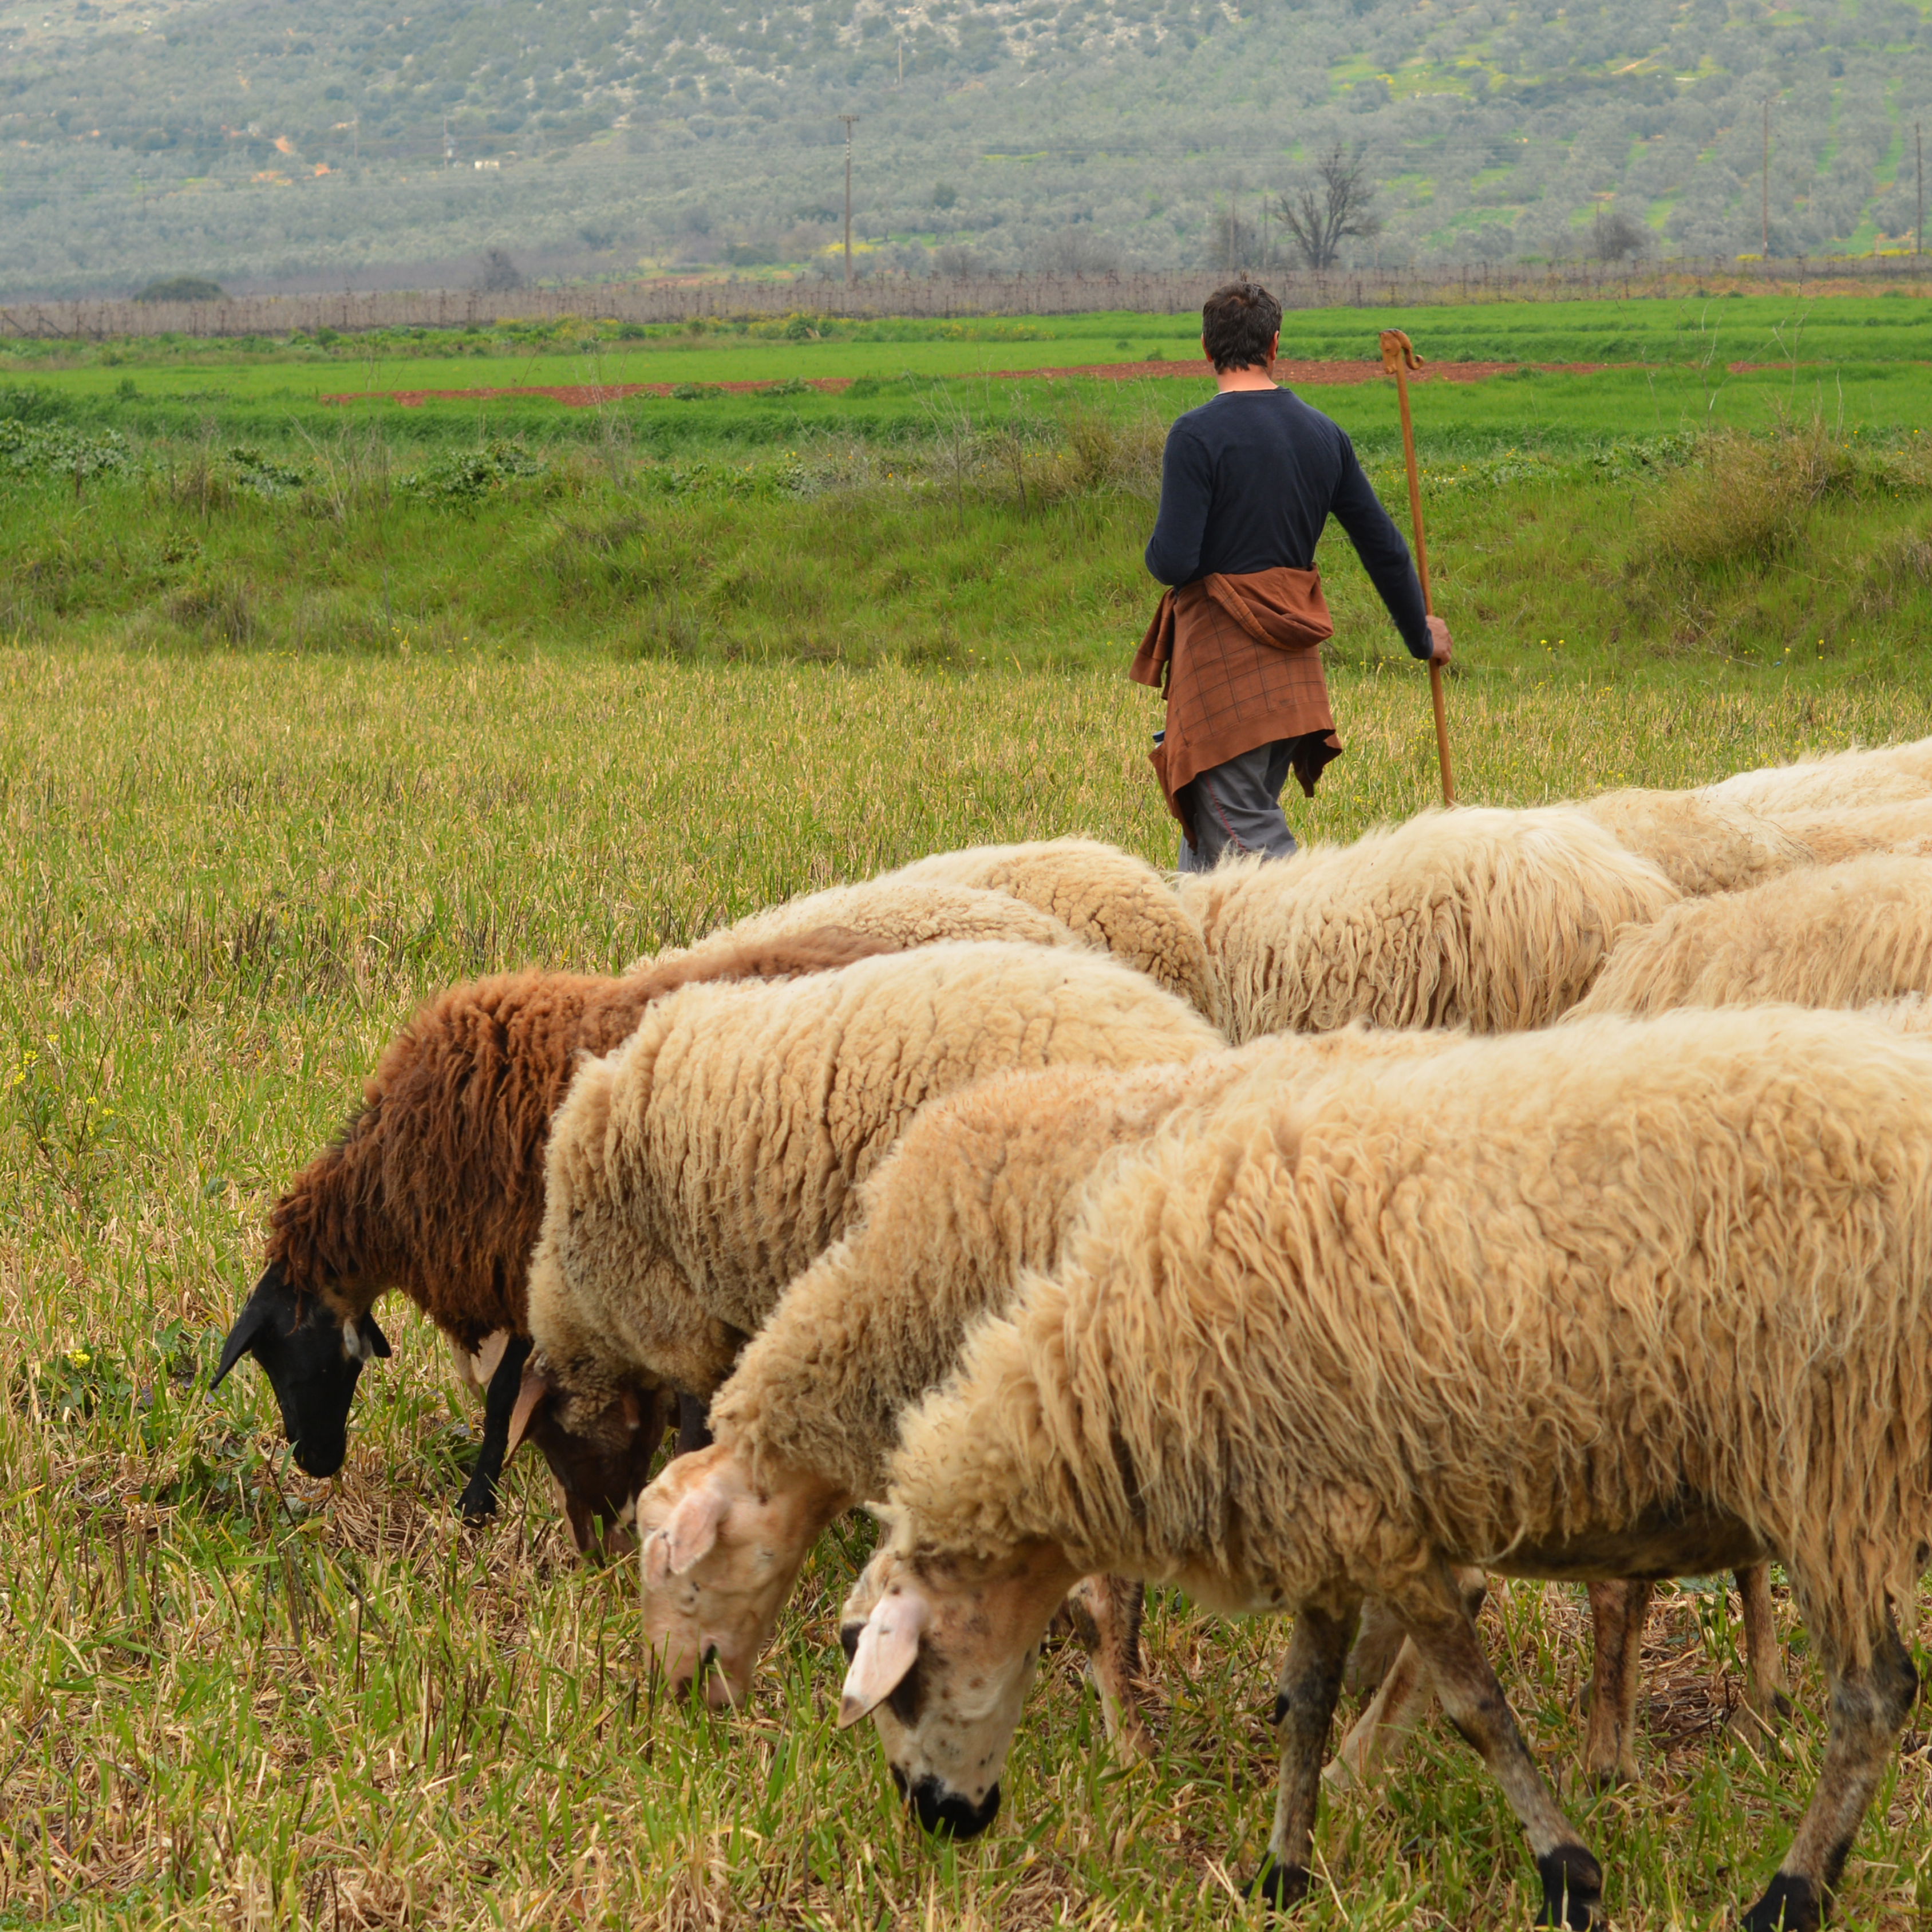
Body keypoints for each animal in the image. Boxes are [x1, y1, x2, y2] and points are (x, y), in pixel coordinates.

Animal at [842, 1005, 1932, 1932]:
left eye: (896, 1680)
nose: (939, 1820)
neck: (1115, 1371)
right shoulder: (1317, 1513)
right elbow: (1308, 1699)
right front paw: (1281, 1870)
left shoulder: (1378, 1525)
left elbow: (1472, 1708)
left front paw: (1567, 1874)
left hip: (1831, 1453)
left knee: (1874, 1692)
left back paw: (1790, 1893)